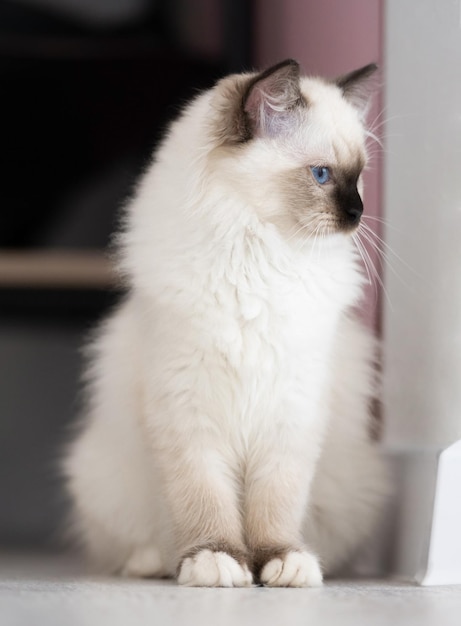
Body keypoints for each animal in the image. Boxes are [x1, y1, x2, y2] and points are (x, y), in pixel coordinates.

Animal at [63, 58, 388, 584]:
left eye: (358, 178)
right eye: (321, 175)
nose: (358, 214)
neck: (259, 257)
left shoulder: (290, 413)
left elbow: (276, 506)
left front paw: (281, 563)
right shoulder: (188, 411)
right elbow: (204, 500)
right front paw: (216, 560)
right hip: (103, 478)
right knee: (136, 543)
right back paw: (154, 564)